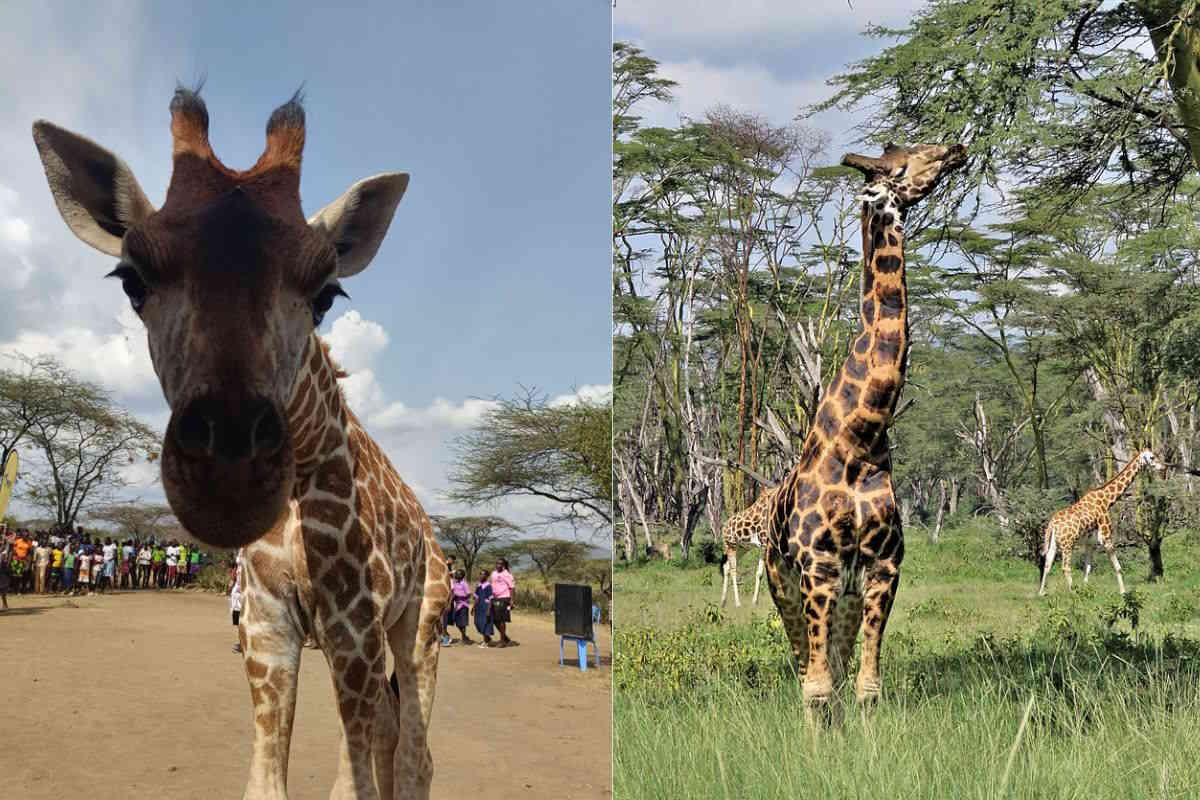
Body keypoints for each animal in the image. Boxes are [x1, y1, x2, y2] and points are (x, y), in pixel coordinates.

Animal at [35, 87, 453, 800]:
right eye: (131, 279)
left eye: (327, 293)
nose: (227, 480)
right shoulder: (265, 627)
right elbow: (267, 781)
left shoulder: (356, 629)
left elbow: (356, 782)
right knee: (395, 739)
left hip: (420, 624)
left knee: (415, 755)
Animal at [763, 140, 969, 724]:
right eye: (905, 162)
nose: (957, 148)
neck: (861, 438)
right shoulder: (818, 567)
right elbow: (816, 688)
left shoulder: (881, 569)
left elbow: (866, 685)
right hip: (784, 587)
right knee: (804, 669)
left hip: (845, 596)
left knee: (835, 661)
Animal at [1041, 450, 1161, 594]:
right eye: (1152, 457)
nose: (1161, 467)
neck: (1107, 500)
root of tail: (1052, 524)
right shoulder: (1106, 538)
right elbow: (1117, 567)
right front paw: (1123, 592)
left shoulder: (1090, 542)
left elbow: (1087, 569)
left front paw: (1086, 589)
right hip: (1067, 544)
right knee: (1065, 567)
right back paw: (1072, 592)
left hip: (1054, 543)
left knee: (1047, 564)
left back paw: (1041, 593)